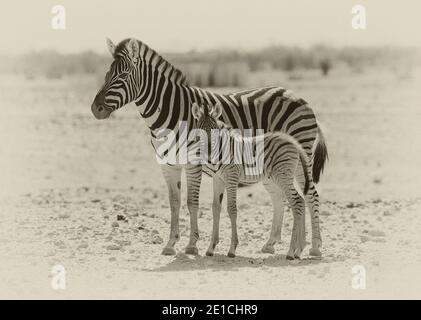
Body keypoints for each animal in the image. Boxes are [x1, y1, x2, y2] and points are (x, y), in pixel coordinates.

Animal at [91, 38, 328, 256]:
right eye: (106, 74)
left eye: (122, 77)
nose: (96, 109)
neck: (168, 112)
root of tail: (299, 97)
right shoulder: (168, 165)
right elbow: (174, 202)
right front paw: (170, 244)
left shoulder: (193, 162)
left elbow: (191, 202)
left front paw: (191, 245)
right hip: (270, 167)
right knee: (280, 198)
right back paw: (274, 244)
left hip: (300, 156)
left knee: (310, 195)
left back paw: (314, 247)